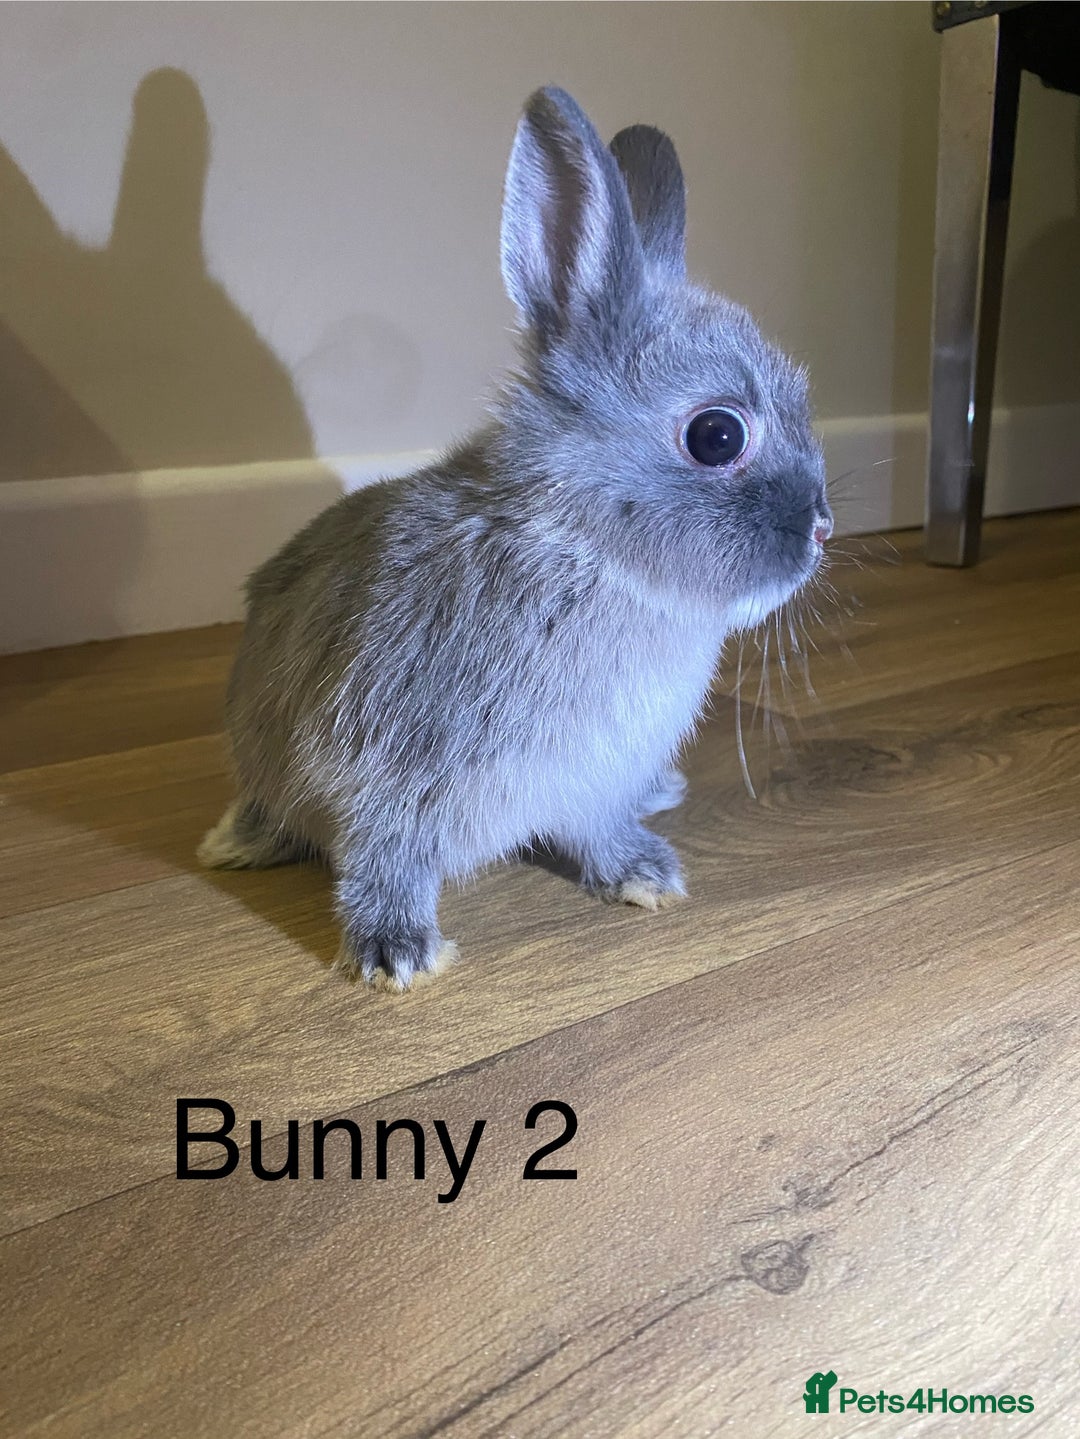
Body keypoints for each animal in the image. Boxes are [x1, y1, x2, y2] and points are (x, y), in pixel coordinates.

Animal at [199, 86, 832, 991]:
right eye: (717, 436)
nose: (822, 526)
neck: (584, 550)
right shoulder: (378, 765)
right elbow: (382, 856)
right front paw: (396, 954)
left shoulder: (588, 781)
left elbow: (596, 828)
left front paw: (645, 875)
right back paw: (235, 842)